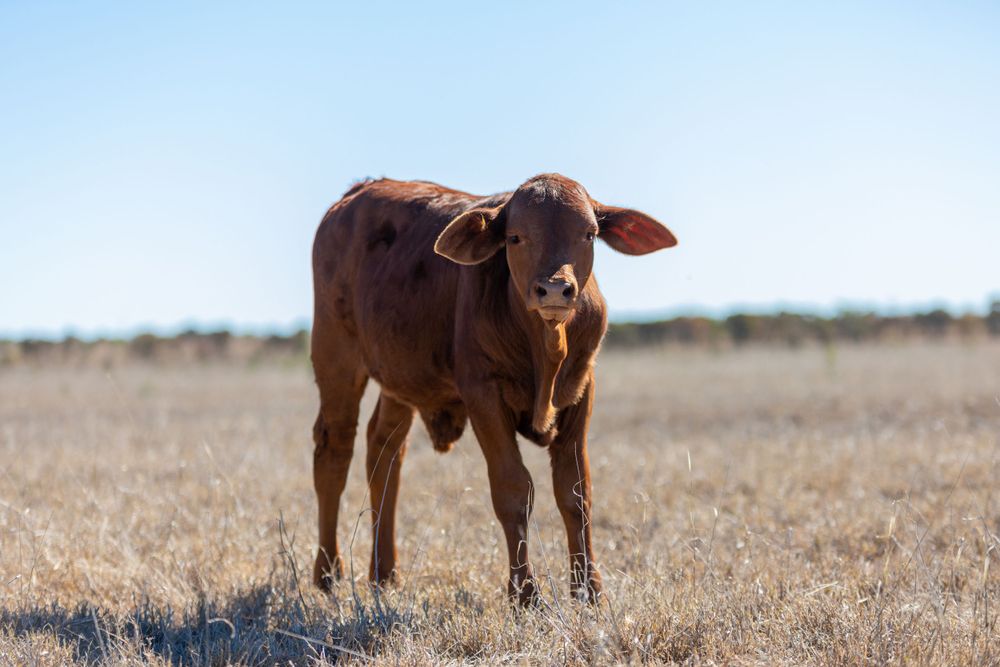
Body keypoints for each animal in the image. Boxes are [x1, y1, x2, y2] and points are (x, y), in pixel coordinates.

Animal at [310, 174, 677, 605]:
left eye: (589, 234)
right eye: (515, 237)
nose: (554, 290)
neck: (545, 347)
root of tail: (359, 190)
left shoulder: (582, 391)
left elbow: (575, 492)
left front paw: (588, 591)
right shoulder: (482, 393)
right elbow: (513, 489)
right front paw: (525, 594)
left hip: (400, 380)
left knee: (384, 453)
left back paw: (384, 574)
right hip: (336, 358)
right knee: (334, 453)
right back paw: (327, 573)